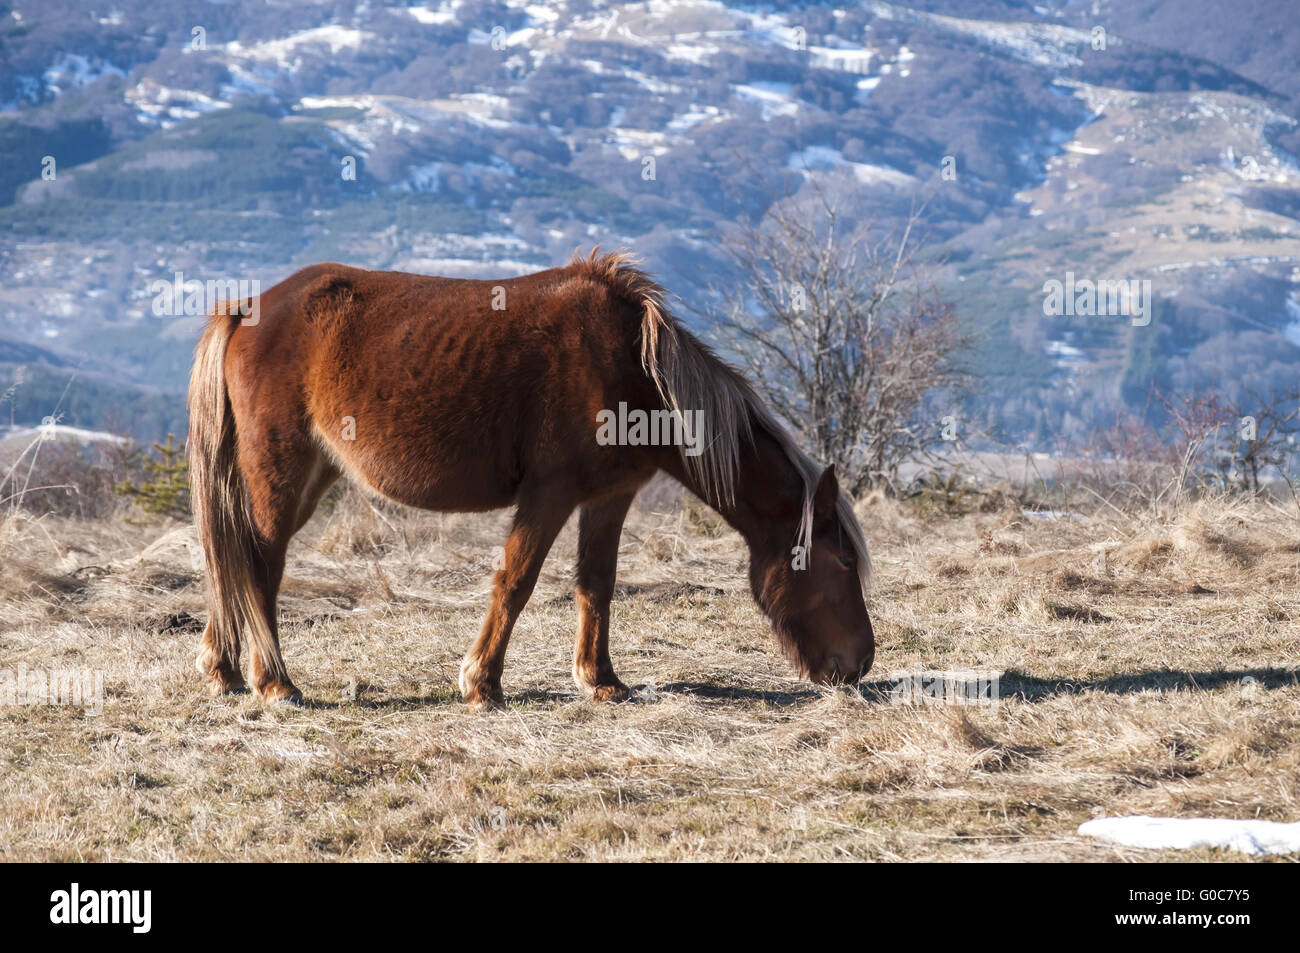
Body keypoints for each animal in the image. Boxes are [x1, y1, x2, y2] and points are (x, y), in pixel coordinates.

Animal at [188, 250, 873, 707]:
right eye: (843, 561)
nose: (860, 664)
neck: (636, 370)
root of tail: (246, 307)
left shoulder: (610, 497)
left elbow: (597, 583)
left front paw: (602, 681)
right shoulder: (550, 494)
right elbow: (516, 581)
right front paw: (482, 683)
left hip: (310, 476)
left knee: (239, 560)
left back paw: (224, 671)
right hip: (280, 472)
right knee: (258, 562)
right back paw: (275, 682)